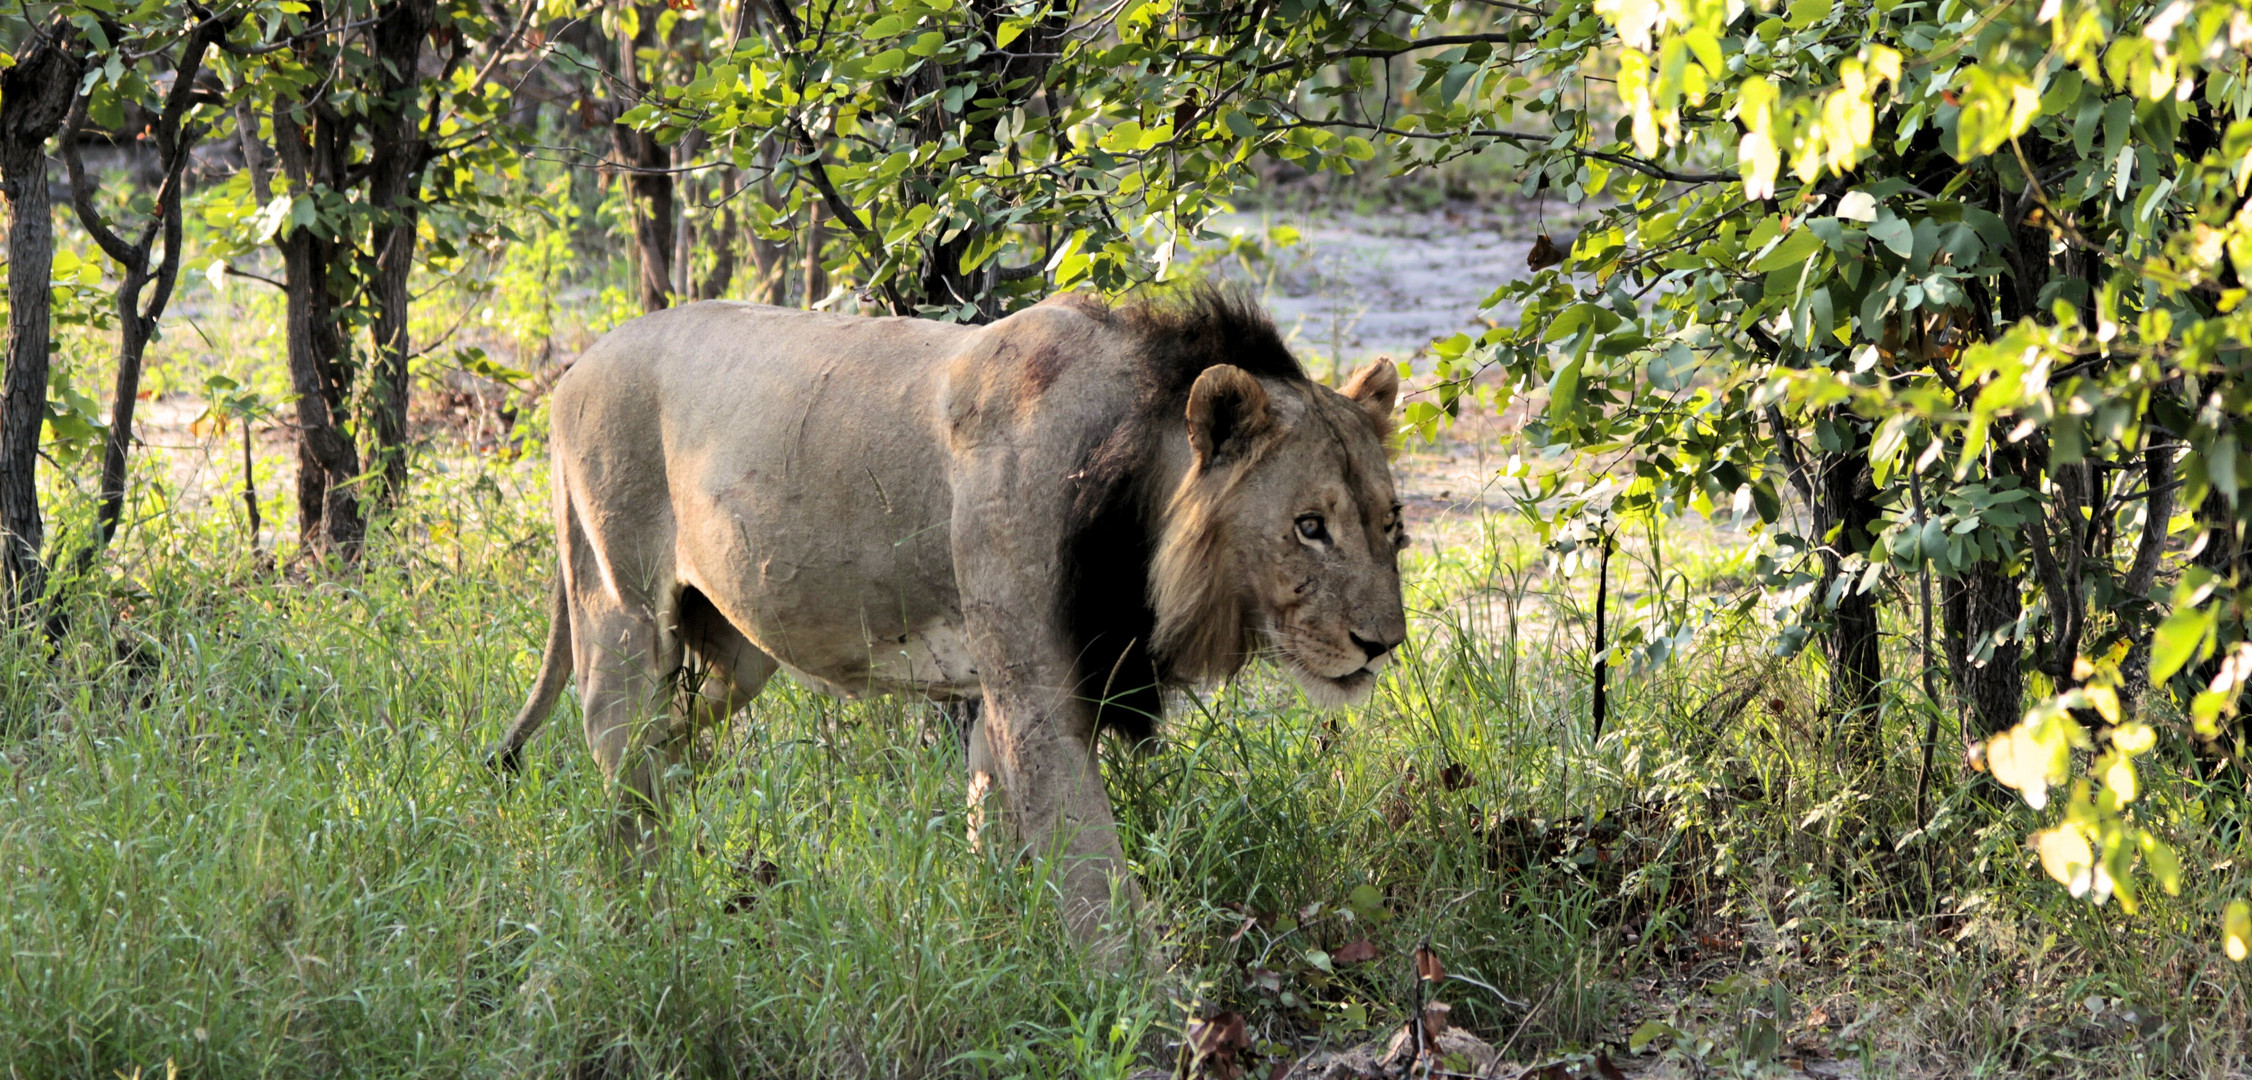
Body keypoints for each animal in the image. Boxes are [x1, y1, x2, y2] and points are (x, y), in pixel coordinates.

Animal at [497, 286, 1405, 936]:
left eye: (1391, 524)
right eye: (1310, 526)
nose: (1383, 644)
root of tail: (578, 365)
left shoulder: (1002, 691)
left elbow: (994, 835)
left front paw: (998, 955)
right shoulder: (1038, 698)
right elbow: (1095, 880)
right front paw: (1148, 1016)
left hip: (734, 656)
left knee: (664, 750)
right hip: (619, 608)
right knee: (622, 764)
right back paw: (639, 915)